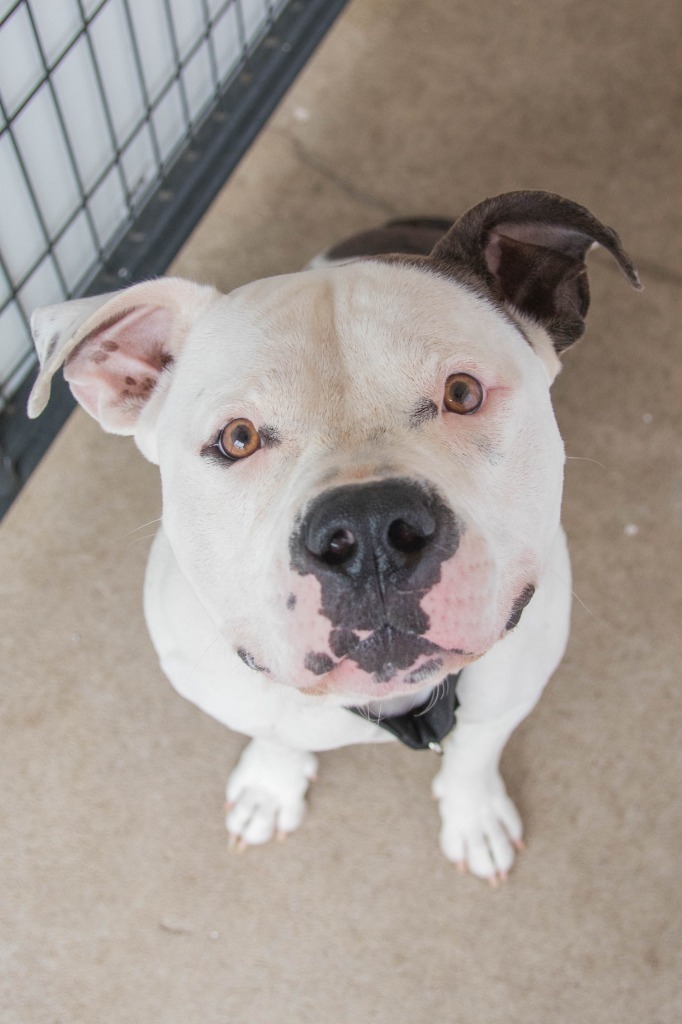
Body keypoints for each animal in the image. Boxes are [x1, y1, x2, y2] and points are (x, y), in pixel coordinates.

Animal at [27, 190, 638, 880]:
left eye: (462, 393)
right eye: (237, 438)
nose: (370, 531)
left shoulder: (509, 693)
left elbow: (475, 754)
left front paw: (474, 817)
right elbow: (272, 732)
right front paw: (270, 788)